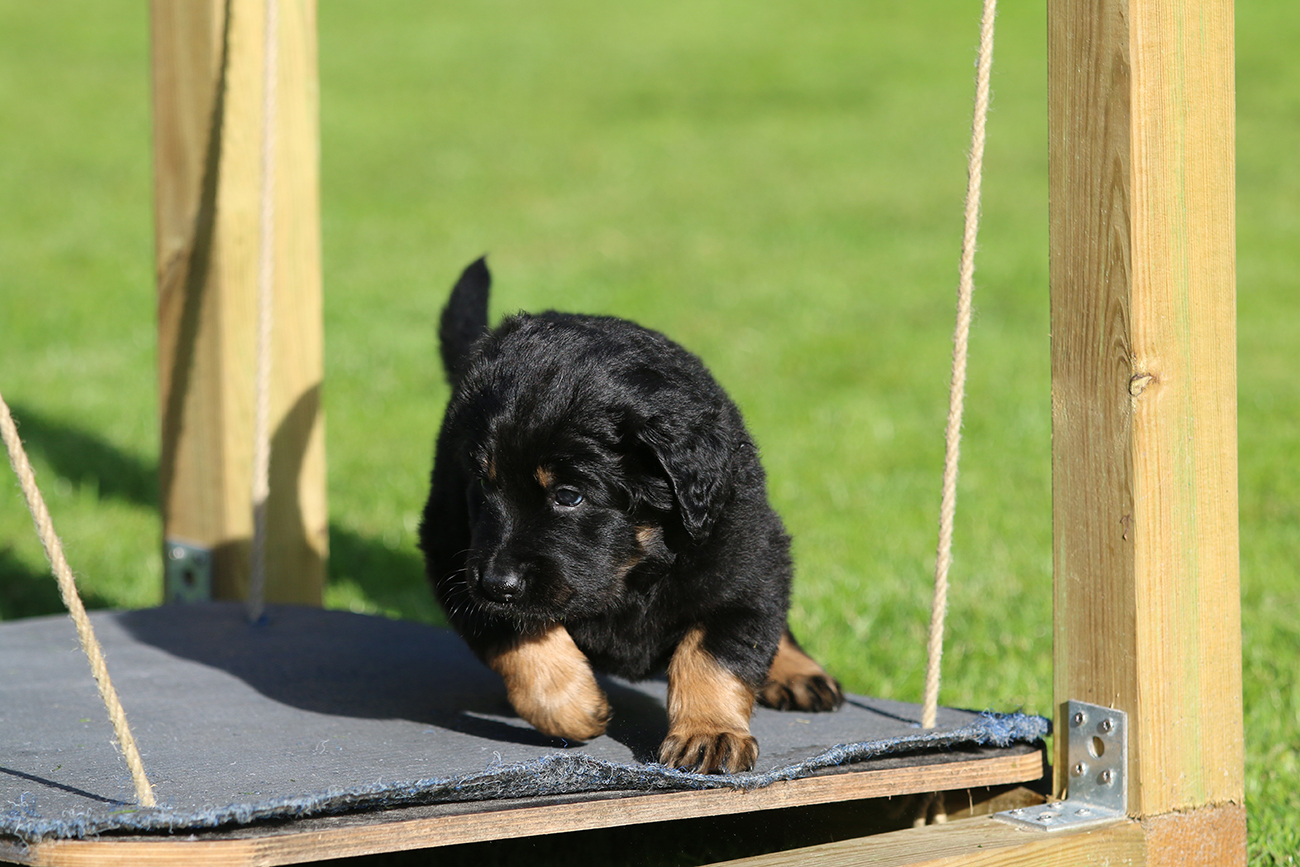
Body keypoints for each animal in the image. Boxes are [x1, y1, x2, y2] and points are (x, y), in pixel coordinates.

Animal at [419, 257, 843, 774]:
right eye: (482, 483)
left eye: (569, 496)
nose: (496, 584)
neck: (634, 565)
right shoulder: (453, 552)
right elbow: (517, 634)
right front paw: (575, 706)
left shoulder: (741, 557)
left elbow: (715, 652)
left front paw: (710, 732)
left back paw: (799, 670)